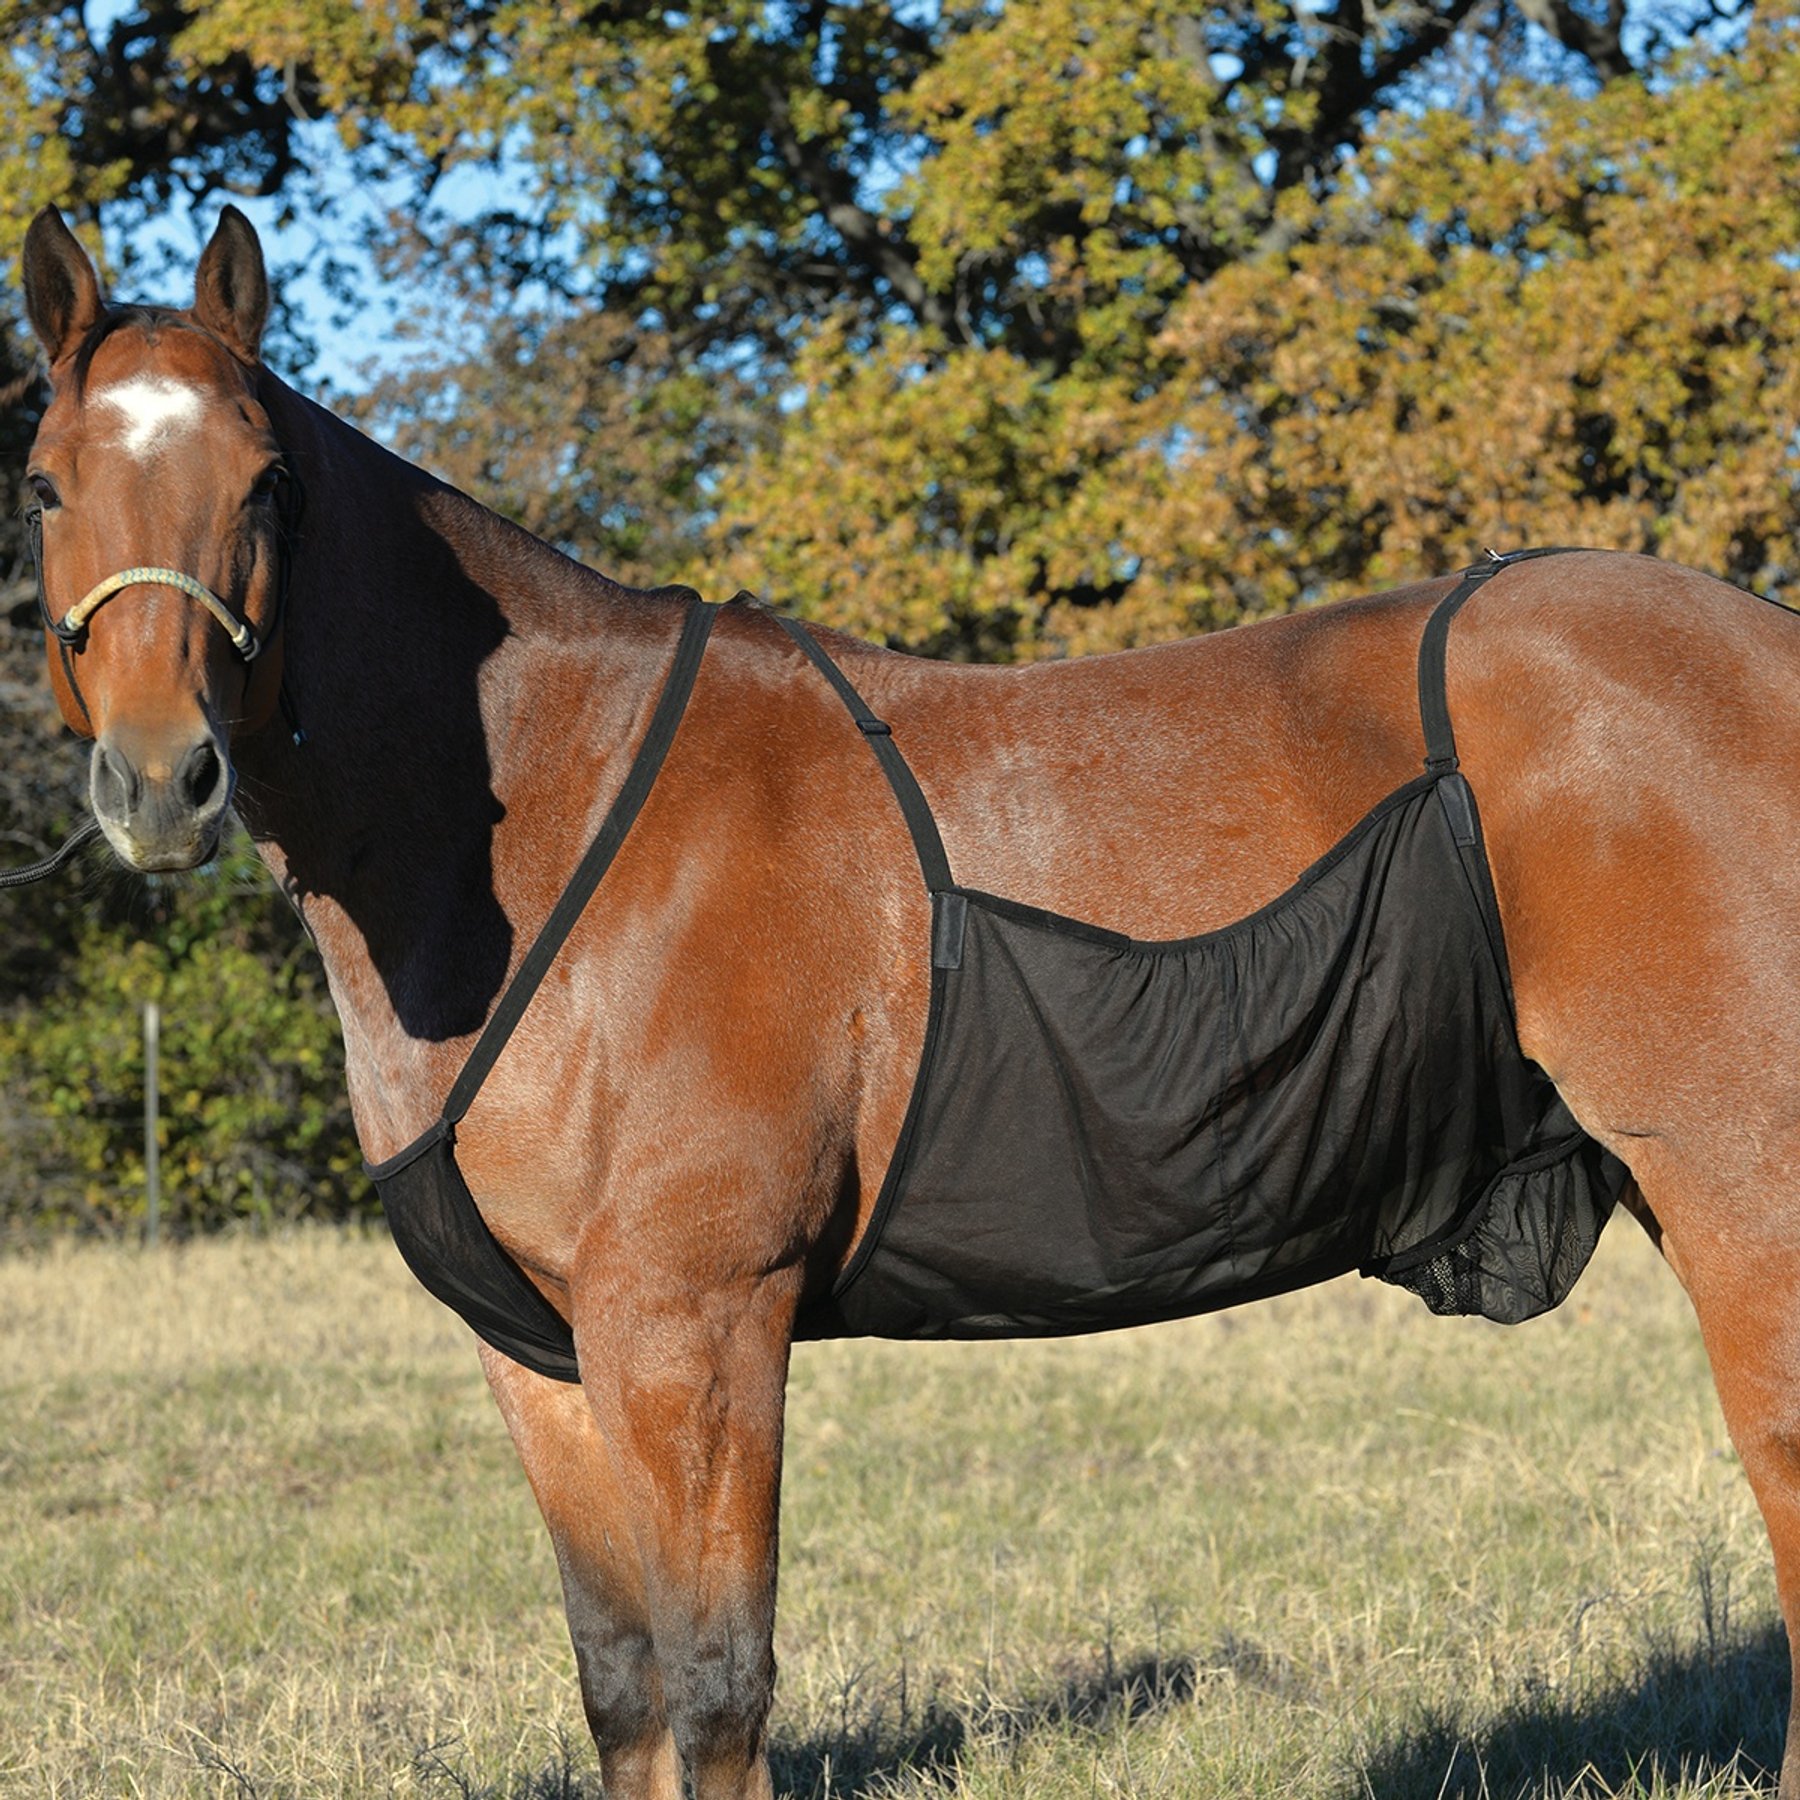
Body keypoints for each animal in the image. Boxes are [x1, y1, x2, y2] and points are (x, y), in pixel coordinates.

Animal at [20, 201, 1800, 1799]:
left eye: (267, 482)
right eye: (43, 482)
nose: (162, 782)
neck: (551, 824)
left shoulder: (699, 1322)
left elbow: (719, 1686)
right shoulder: (544, 1354)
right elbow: (626, 1689)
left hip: (1740, 1191)